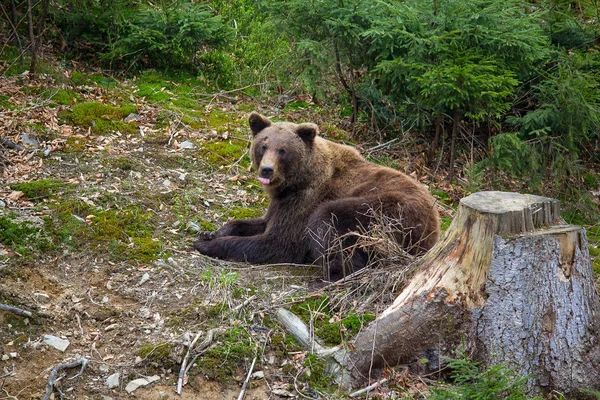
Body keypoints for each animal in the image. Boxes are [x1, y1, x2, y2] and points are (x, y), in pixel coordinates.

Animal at [196, 112, 440, 280]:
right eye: (263, 145)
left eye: (283, 150)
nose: (266, 170)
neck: (293, 183)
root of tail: (434, 230)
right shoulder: (281, 203)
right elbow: (257, 223)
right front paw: (211, 233)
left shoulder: (306, 200)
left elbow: (278, 243)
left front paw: (206, 245)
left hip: (386, 211)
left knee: (328, 221)